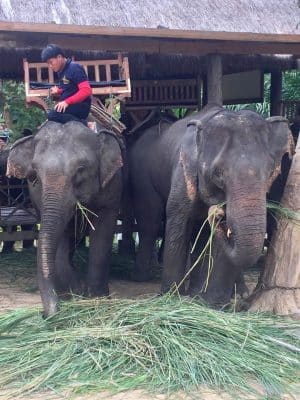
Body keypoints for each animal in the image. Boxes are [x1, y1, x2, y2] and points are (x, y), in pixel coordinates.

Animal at [7, 120, 124, 318]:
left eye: (81, 168)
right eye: (35, 173)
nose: (45, 314)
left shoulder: (112, 186)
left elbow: (103, 231)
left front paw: (97, 297)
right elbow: (60, 235)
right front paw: (74, 291)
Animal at [127, 104, 292, 304]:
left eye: (270, 172)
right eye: (218, 174)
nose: (218, 213)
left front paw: (203, 298)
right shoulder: (183, 174)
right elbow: (179, 219)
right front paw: (171, 298)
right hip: (140, 175)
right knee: (150, 220)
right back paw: (142, 277)